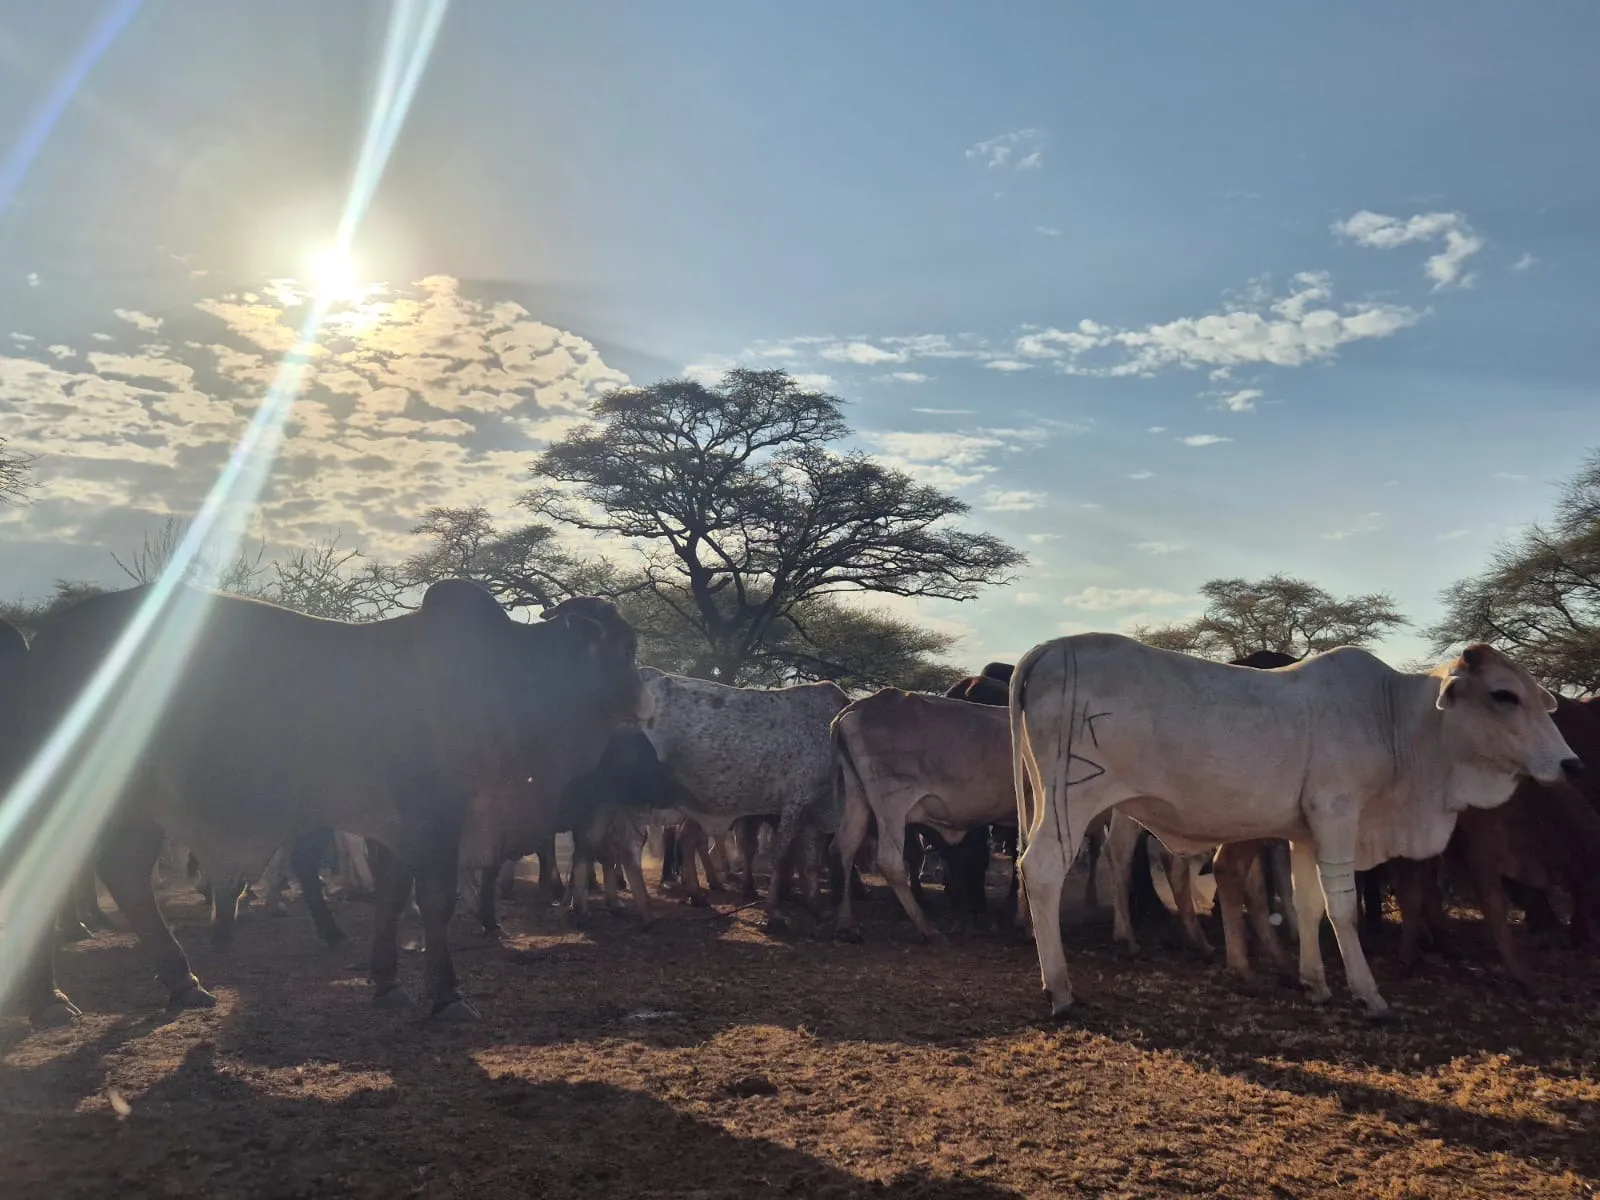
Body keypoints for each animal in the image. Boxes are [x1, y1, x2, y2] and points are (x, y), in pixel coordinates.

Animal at [10, 581, 649, 1028]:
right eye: (628, 645)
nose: (645, 697)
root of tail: (39, 645)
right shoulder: (436, 815)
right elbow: (436, 902)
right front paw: (446, 995)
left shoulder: (396, 827)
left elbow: (392, 897)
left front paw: (388, 983)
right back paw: (48, 1001)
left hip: (135, 807)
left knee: (122, 874)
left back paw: (181, 983)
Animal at [637, 668, 850, 929]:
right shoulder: (794, 804)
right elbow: (780, 856)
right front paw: (773, 913)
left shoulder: (816, 809)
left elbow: (811, 862)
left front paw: (817, 908)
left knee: (681, 841)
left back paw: (694, 894)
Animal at [1009, 635, 1579, 1020]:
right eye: (1503, 695)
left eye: (1539, 697)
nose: (1570, 764)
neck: (1395, 721)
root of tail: (1049, 648)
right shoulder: (1337, 814)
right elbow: (1342, 909)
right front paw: (1369, 994)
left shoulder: (1304, 833)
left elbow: (1308, 906)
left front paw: (1315, 982)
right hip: (1075, 798)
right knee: (1042, 870)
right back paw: (1060, 988)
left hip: (1057, 801)